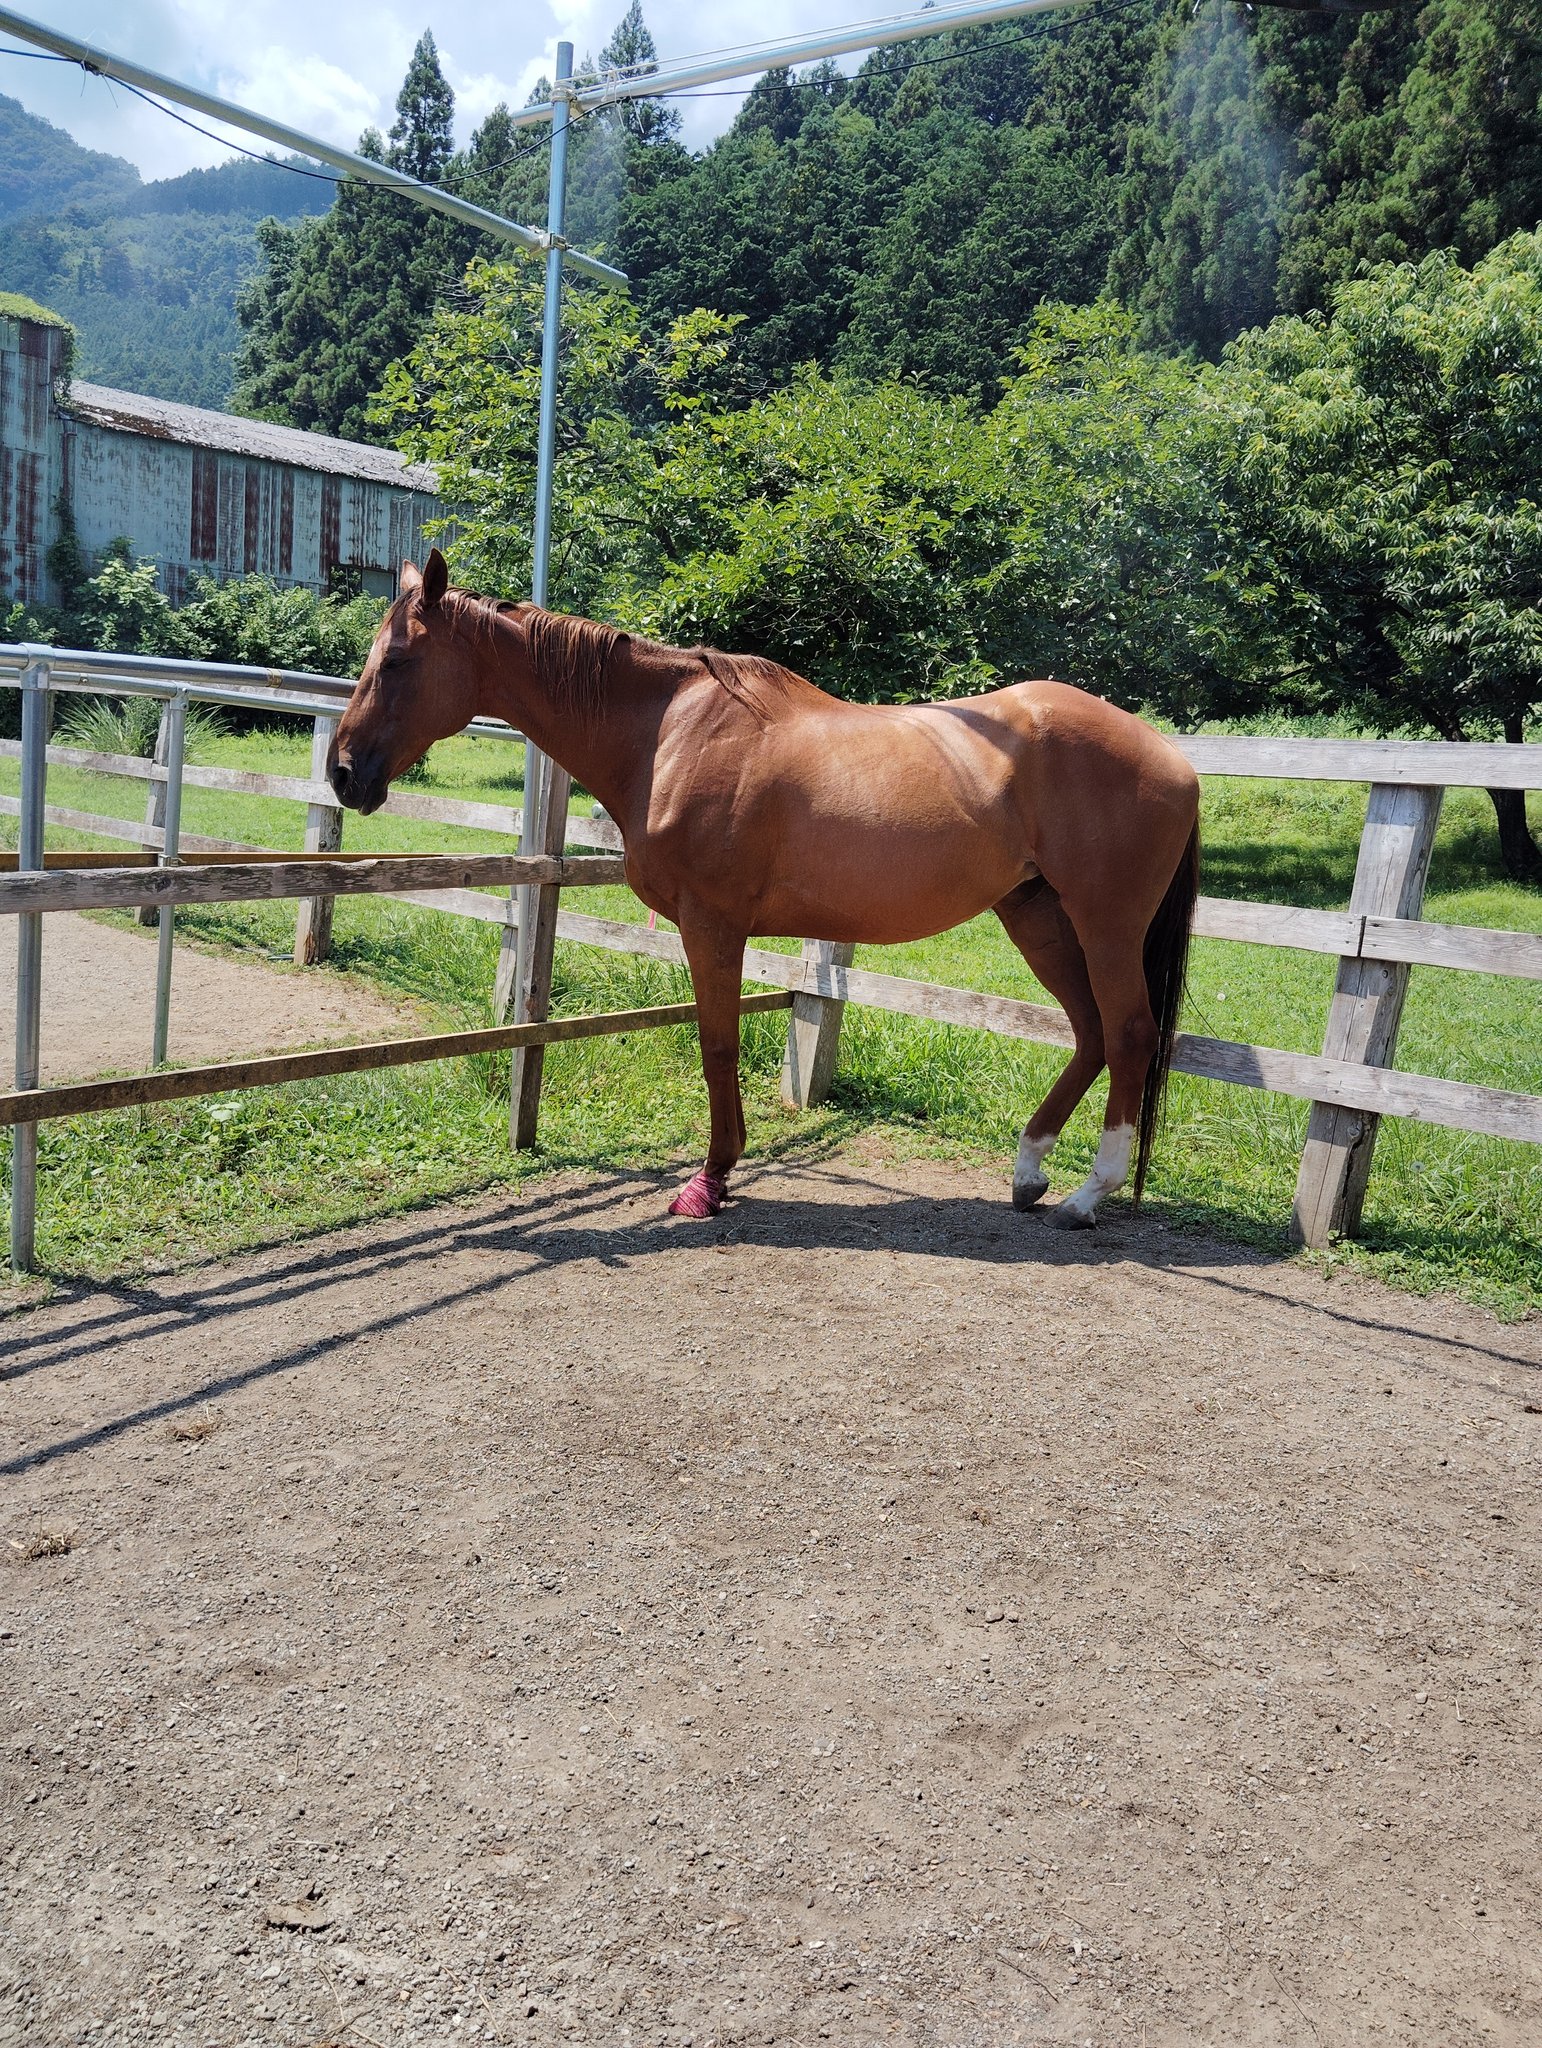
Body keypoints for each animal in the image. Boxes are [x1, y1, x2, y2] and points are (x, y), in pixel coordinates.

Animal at [329, 550, 1201, 1227]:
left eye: (396, 661)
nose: (341, 774)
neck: (667, 732)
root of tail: (1172, 758)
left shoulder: (711, 924)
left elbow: (717, 1046)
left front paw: (710, 1179)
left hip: (1105, 925)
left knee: (1127, 1034)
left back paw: (1087, 1196)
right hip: (1037, 916)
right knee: (1090, 1033)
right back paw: (1029, 1172)